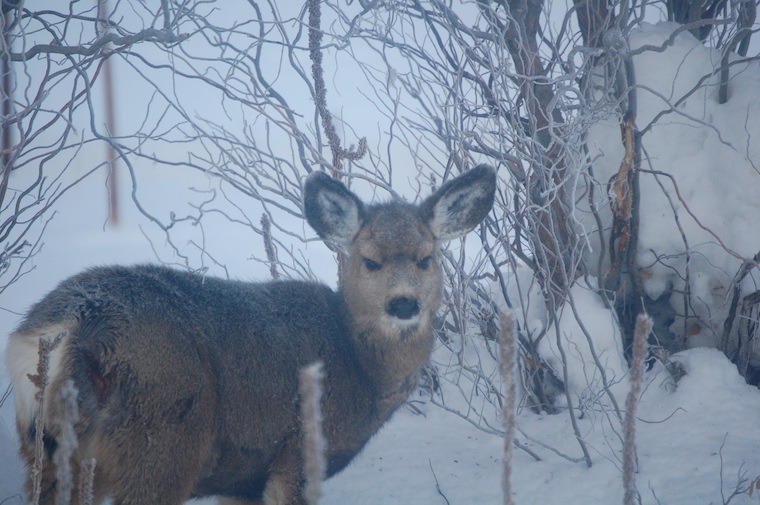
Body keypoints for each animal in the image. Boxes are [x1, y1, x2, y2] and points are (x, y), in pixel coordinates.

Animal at [6, 164, 496, 505]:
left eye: (426, 258)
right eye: (370, 260)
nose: (404, 304)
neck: (360, 368)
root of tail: (70, 325)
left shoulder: (242, 478)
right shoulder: (297, 453)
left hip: (46, 454)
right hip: (161, 443)